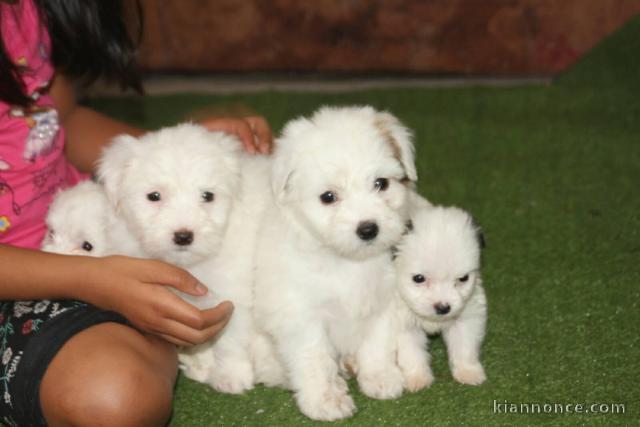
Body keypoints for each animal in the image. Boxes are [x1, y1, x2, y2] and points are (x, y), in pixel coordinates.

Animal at [96, 123, 268, 394]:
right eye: (154, 196)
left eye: (207, 196)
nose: (184, 236)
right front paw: (202, 364)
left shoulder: (233, 295)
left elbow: (231, 340)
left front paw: (231, 377)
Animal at [252, 104, 418, 422]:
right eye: (328, 197)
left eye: (381, 184)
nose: (368, 229)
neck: (346, 260)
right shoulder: (301, 315)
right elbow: (314, 358)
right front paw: (325, 400)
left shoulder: (383, 301)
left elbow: (377, 343)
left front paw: (380, 377)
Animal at [392, 201, 488, 392]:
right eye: (419, 278)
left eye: (463, 278)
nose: (443, 308)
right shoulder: (404, 323)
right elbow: (411, 352)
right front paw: (418, 378)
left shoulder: (466, 315)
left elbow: (464, 345)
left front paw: (468, 372)